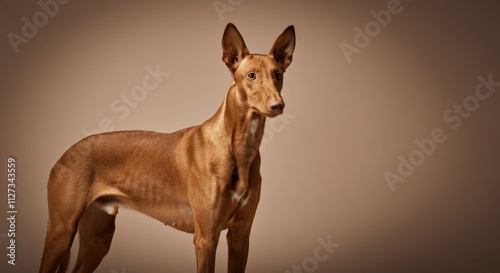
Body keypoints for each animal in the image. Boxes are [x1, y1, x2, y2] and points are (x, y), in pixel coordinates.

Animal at [40, 22, 296, 272]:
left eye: (278, 74)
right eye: (251, 75)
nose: (278, 105)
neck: (240, 147)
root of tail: (66, 152)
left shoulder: (240, 237)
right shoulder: (206, 238)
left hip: (97, 238)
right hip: (61, 232)